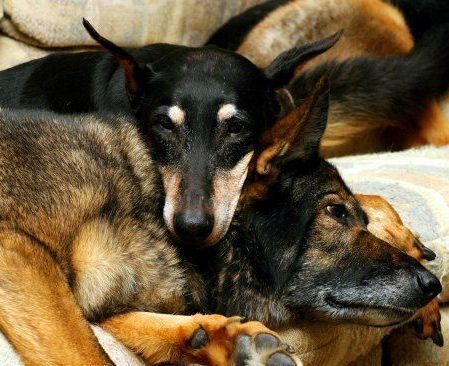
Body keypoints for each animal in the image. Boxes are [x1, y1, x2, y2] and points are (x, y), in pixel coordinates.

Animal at [0, 76, 440, 364]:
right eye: (335, 212)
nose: (432, 285)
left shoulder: (90, 303)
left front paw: (218, 339)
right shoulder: (18, 252)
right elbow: (90, 355)